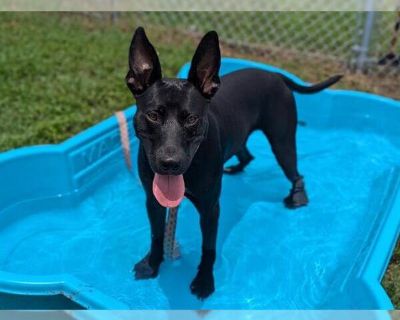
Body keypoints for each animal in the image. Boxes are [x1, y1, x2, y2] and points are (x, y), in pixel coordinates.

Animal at [124, 27, 340, 300]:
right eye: (153, 115)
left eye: (192, 119)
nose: (170, 163)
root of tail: (273, 73)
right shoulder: (153, 202)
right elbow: (156, 234)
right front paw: (152, 264)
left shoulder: (210, 209)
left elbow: (208, 248)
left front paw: (204, 281)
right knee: (247, 155)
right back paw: (236, 168)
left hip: (282, 143)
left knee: (295, 173)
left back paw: (298, 197)